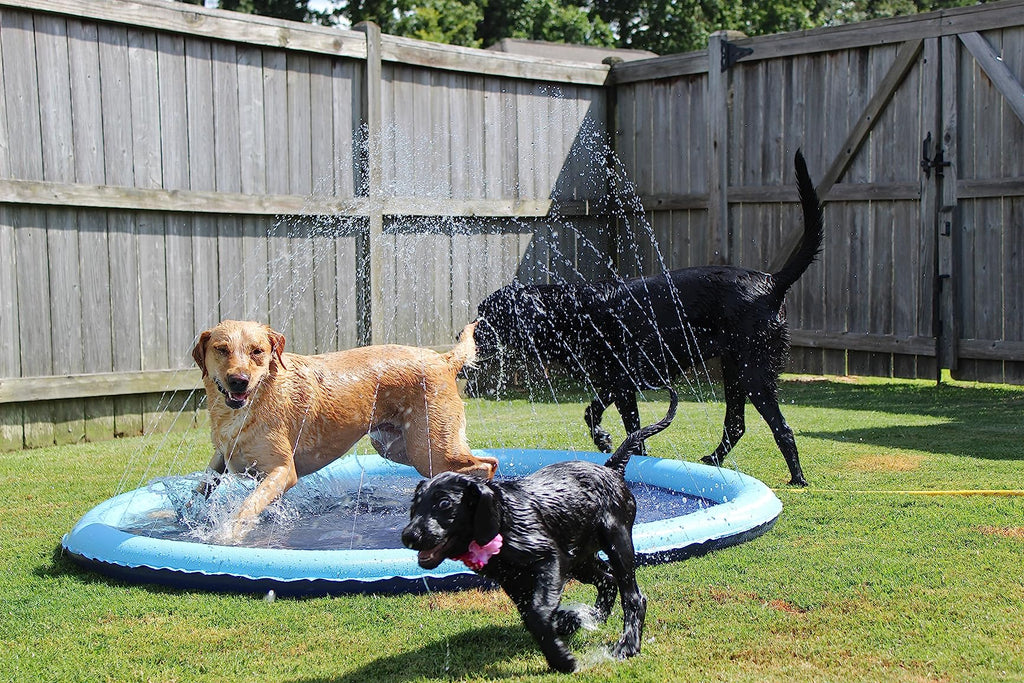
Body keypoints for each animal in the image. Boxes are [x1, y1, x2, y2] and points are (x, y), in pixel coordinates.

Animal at [401, 389, 679, 671]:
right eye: (415, 505)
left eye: (444, 504)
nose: (408, 536)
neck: (506, 519)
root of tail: (611, 468)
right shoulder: (513, 580)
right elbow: (535, 614)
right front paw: (564, 628)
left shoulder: (550, 558)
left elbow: (537, 613)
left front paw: (563, 659)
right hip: (580, 559)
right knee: (608, 580)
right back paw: (586, 617)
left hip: (616, 541)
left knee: (632, 596)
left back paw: (627, 645)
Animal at [473, 152, 823, 489]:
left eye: (488, 316)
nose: (471, 337)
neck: (570, 314)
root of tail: (771, 281)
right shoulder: (619, 383)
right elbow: (611, 420)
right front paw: (617, 447)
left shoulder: (623, 380)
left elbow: (612, 421)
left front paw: (613, 446)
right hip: (734, 368)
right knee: (736, 424)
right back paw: (714, 460)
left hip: (754, 371)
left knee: (781, 427)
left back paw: (798, 478)